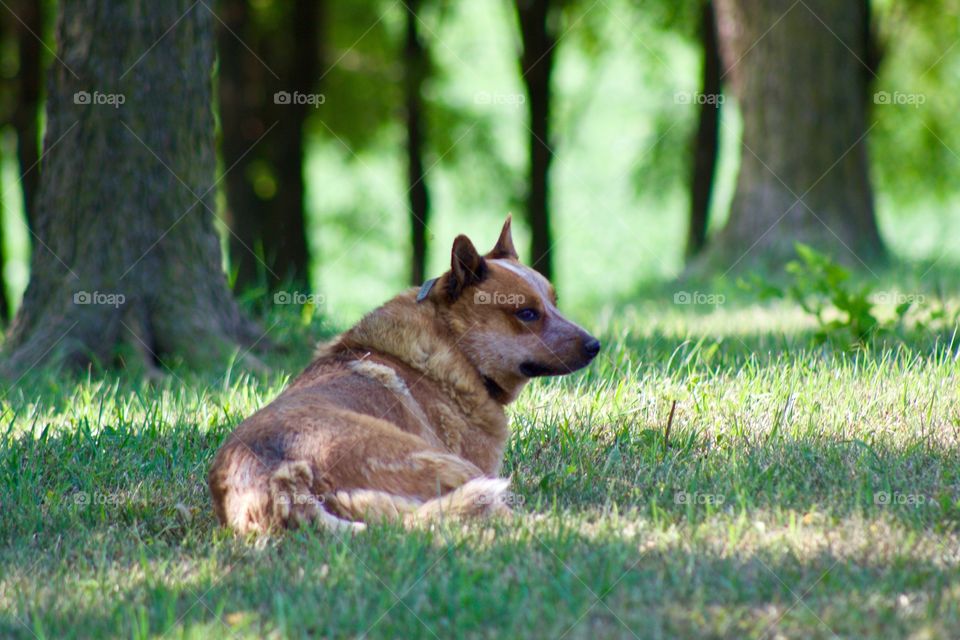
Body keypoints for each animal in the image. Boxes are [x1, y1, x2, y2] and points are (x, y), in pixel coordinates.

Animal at [208, 218, 600, 532]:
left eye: (555, 301)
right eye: (527, 314)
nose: (595, 345)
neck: (453, 344)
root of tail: (281, 480)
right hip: (444, 464)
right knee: (493, 511)